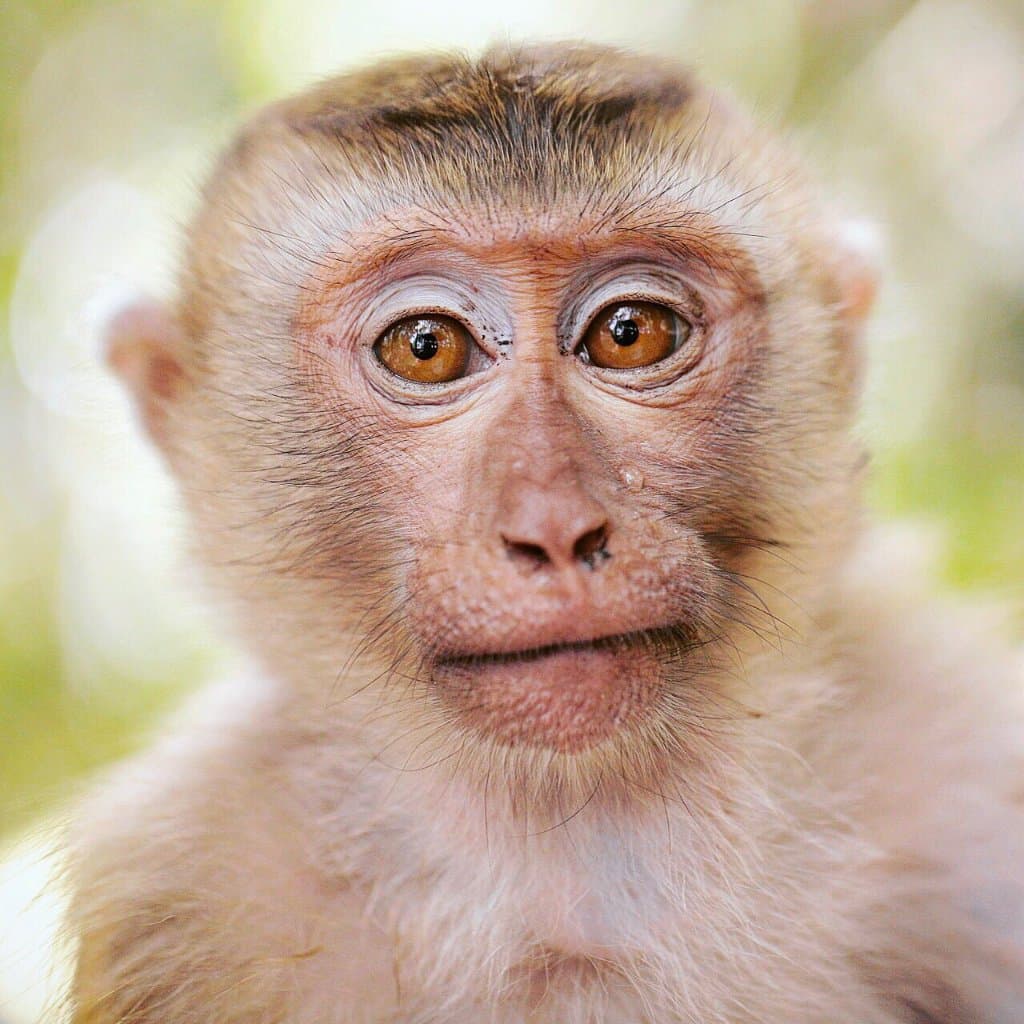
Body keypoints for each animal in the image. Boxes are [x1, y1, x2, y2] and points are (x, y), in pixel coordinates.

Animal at [64, 41, 1024, 1024]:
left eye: (632, 333)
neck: (578, 853)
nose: (556, 528)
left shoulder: (968, 764)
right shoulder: (181, 872)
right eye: (425, 347)